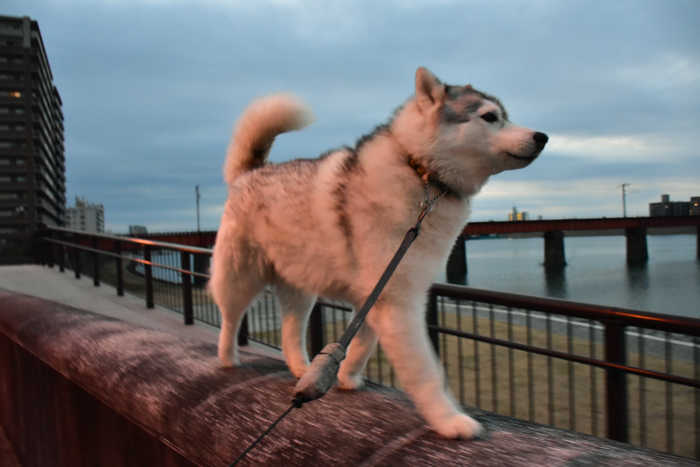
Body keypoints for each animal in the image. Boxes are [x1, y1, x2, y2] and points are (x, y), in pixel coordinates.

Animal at [208, 67, 548, 440]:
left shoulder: (376, 295)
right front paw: (448, 419)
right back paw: (227, 357)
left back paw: (301, 367)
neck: (422, 173)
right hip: (239, 277)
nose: (543, 136)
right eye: (489, 117)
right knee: (230, 317)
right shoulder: (398, 303)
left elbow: (363, 343)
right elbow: (427, 372)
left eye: (507, 116)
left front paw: (346, 376)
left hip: (300, 285)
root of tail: (250, 172)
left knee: (291, 329)